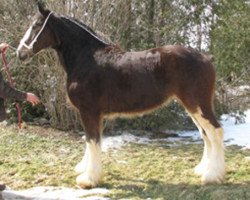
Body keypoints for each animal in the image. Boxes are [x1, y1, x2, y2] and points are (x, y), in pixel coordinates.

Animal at [16, 3, 226, 188]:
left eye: (36, 26)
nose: (20, 53)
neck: (86, 59)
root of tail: (206, 58)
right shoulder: (94, 114)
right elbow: (91, 140)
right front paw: (85, 169)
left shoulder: (89, 111)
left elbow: (92, 140)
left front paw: (89, 180)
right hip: (191, 106)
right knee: (205, 133)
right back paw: (202, 169)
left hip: (197, 104)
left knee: (215, 132)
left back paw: (212, 176)